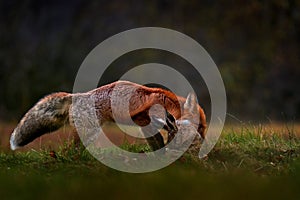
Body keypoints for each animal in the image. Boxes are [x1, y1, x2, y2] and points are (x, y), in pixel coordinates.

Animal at [9, 80, 206, 151]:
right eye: (202, 127)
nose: (205, 141)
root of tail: (76, 96)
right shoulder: (147, 119)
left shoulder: (145, 125)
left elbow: (157, 141)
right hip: (89, 132)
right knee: (71, 150)